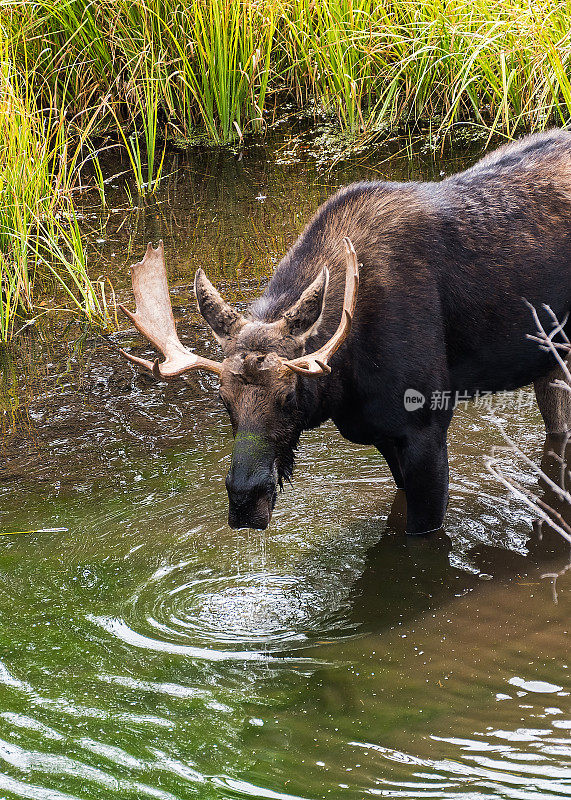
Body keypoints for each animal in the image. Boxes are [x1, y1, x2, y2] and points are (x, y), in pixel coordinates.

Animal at [119, 130, 571, 532]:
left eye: (289, 397)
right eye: (223, 401)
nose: (245, 501)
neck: (346, 385)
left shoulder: (426, 427)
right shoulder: (384, 435)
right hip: (551, 360)